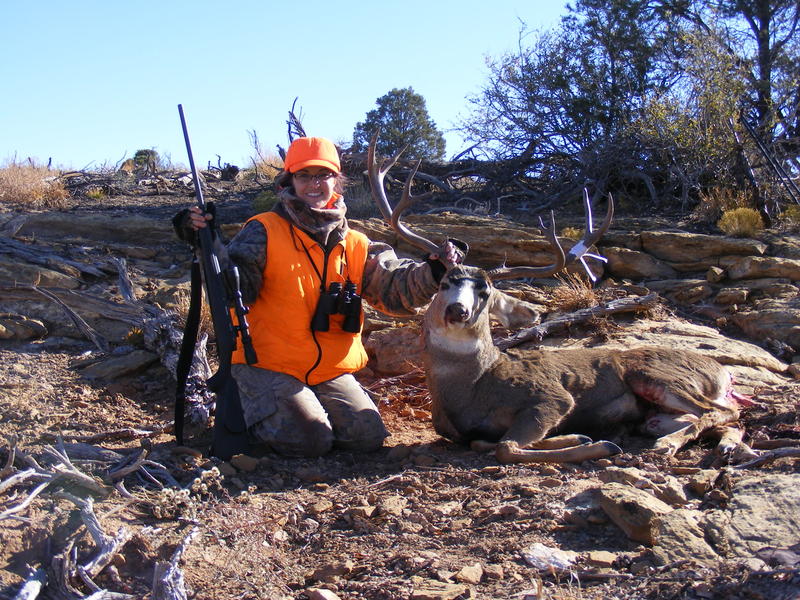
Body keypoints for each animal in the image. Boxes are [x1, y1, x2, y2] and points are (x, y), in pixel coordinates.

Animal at [368, 136, 756, 464]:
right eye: (446, 282)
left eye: (485, 292)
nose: (458, 310)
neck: (473, 386)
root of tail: (723, 370)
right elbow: (483, 441)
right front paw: (579, 438)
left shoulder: (551, 396)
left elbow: (507, 446)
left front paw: (595, 443)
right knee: (724, 419)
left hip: (658, 374)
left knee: (722, 412)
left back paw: (665, 444)